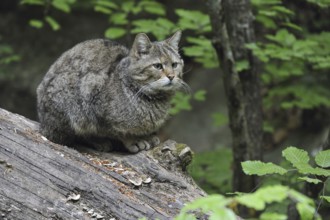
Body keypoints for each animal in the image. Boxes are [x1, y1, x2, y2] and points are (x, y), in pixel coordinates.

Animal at [36, 31, 188, 153]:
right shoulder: (96, 107)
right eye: (157, 66)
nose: (171, 76)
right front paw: (135, 140)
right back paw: (99, 142)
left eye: (174, 64)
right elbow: (119, 131)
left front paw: (147, 136)